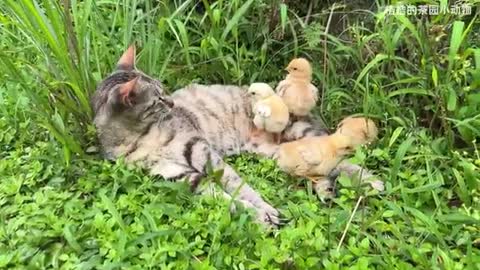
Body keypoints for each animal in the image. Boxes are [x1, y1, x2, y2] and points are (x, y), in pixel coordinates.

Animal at [91, 45, 382, 227]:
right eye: (158, 99)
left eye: (164, 91)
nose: (172, 103)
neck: (139, 137)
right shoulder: (177, 176)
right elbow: (223, 197)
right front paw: (257, 216)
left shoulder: (203, 153)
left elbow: (239, 186)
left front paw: (264, 209)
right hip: (279, 154)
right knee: (320, 166)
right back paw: (327, 189)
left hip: (297, 131)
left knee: (339, 156)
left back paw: (369, 180)